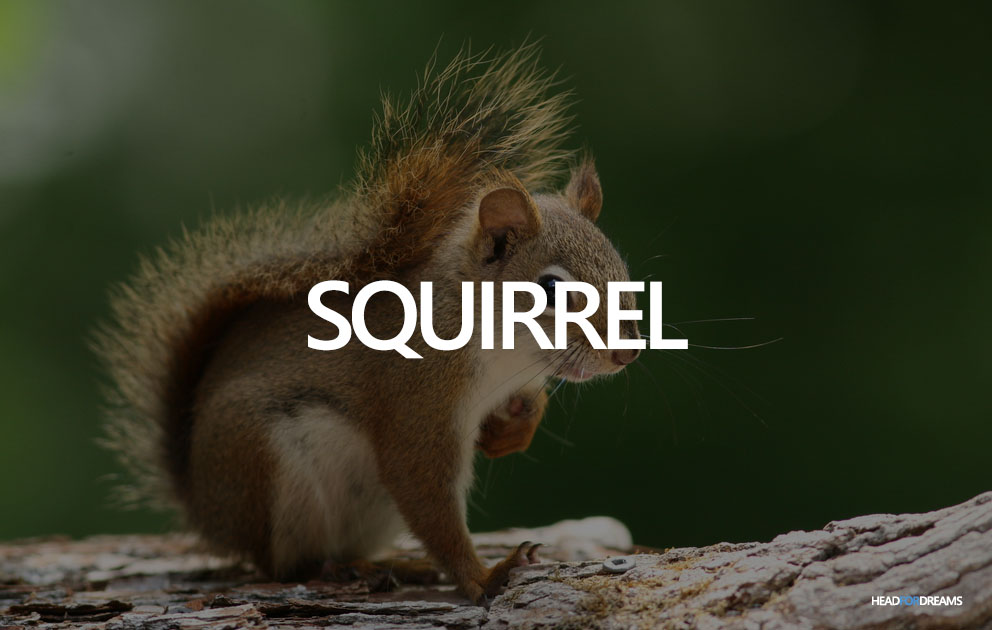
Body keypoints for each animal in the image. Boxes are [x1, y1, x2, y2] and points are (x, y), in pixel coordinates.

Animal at [95, 45, 640, 604]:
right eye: (551, 288)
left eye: (620, 264)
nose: (627, 353)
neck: (500, 352)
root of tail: (209, 512)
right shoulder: (415, 401)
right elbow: (426, 494)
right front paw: (483, 576)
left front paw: (513, 431)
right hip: (268, 468)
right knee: (285, 564)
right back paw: (339, 571)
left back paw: (395, 563)